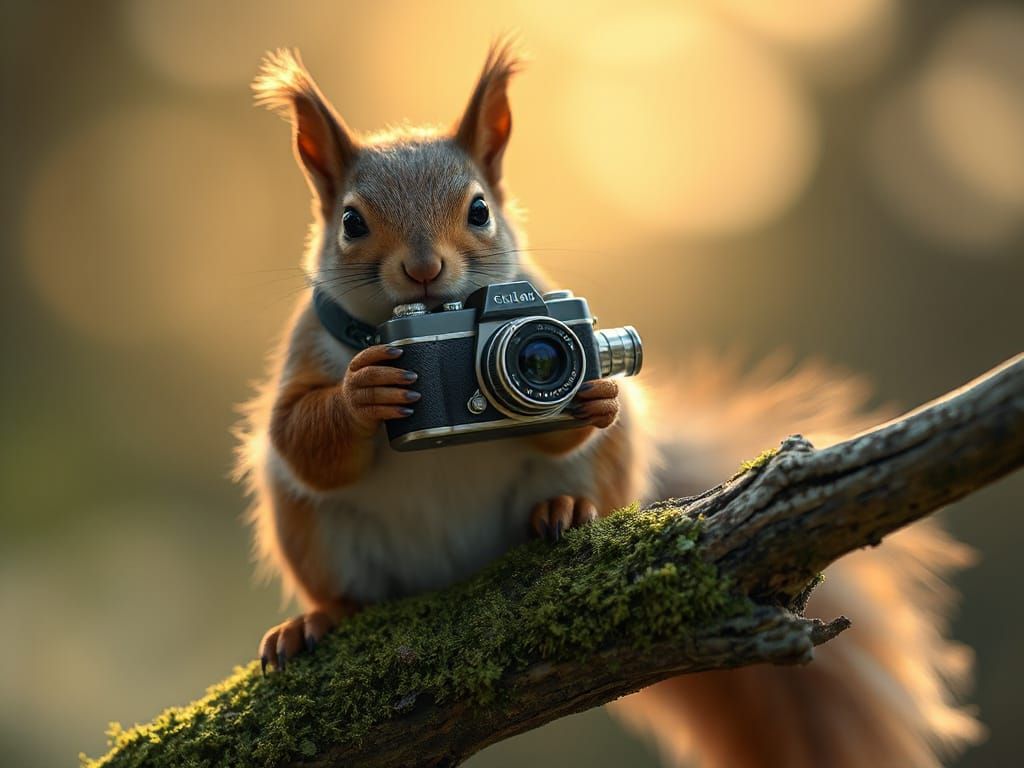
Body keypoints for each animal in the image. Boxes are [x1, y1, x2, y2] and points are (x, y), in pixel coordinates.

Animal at [237, 44, 983, 768]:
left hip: (603, 471)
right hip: (315, 534)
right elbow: (300, 436)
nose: (423, 270)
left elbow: (563, 425)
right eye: (351, 222)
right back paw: (315, 622)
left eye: (479, 210)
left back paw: (564, 510)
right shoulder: (306, 358)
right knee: (342, 584)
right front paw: (364, 392)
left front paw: (595, 393)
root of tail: (454, 571)